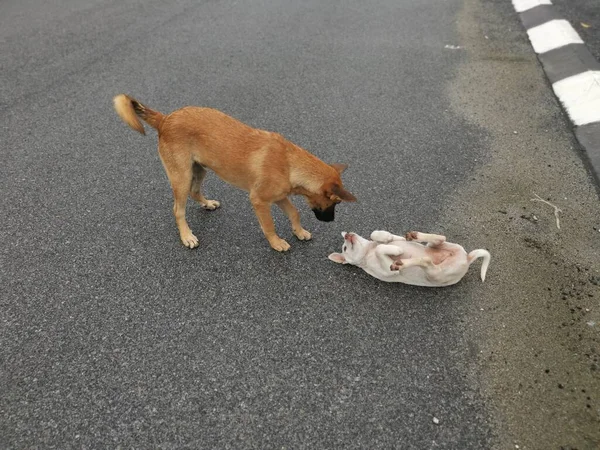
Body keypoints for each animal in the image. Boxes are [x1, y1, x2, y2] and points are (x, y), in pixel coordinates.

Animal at [113, 94, 356, 250]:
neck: (290, 164)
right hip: (181, 177)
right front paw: (276, 242)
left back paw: (207, 203)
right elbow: (269, 225)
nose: (331, 221)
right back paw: (187, 236)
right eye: (336, 203)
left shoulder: (280, 196)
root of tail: (165, 119)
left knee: (194, 192)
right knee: (178, 210)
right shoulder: (259, 200)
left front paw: (299, 231)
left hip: (199, 170)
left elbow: (294, 212)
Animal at [328, 230, 492, 286]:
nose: (348, 235)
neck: (368, 251)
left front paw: (385, 238)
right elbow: (381, 250)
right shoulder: (388, 272)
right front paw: (396, 250)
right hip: (435, 273)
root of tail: (468, 258)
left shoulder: (396, 238)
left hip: (437, 247)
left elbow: (376, 235)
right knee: (426, 260)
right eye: (344, 248)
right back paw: (402, 261)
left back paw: (415, 235)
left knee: (440, 238)